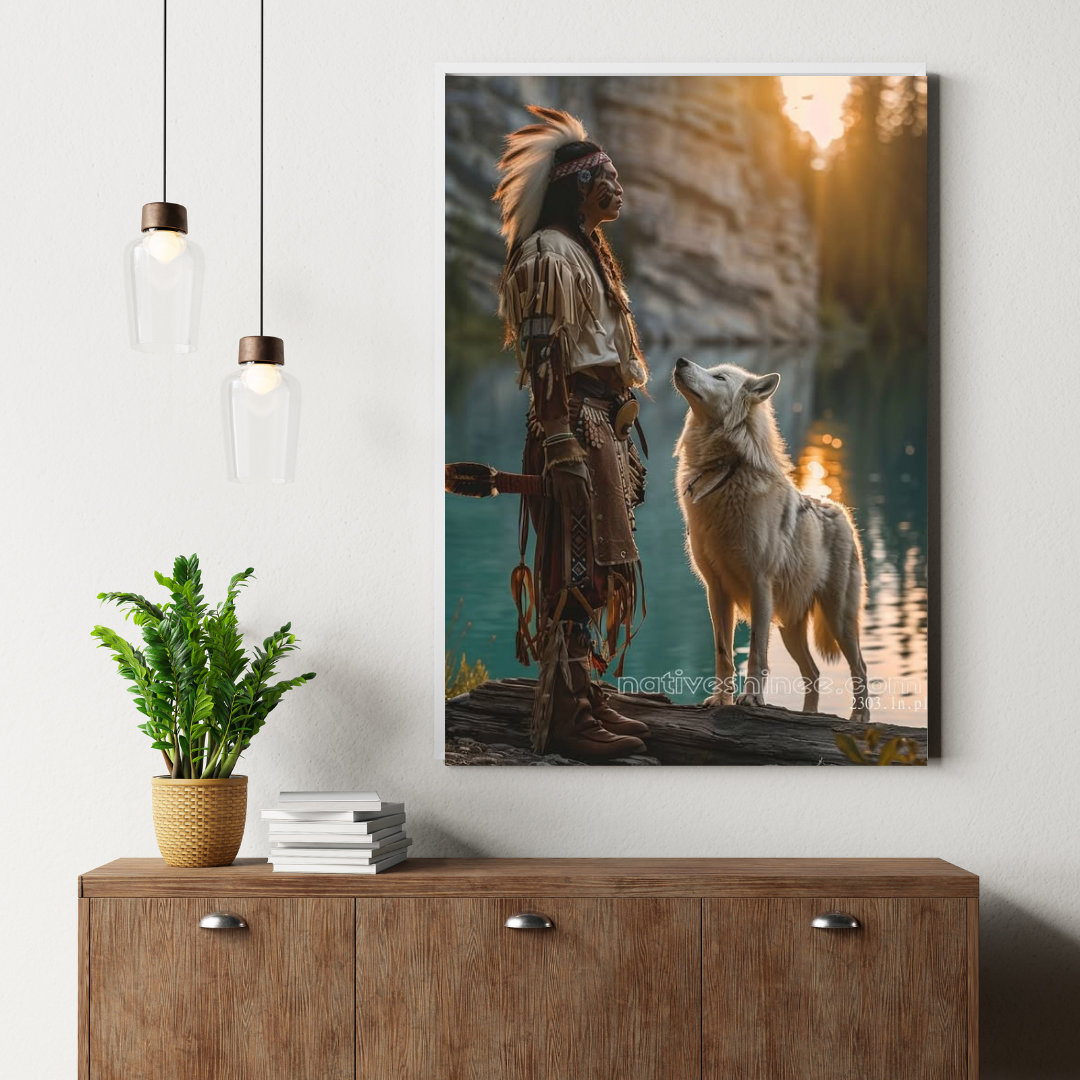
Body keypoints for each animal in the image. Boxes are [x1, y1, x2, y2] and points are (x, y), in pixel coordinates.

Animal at [672, 357, 870, 722]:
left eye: (720, 377)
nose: (680, 361)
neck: (726, 472)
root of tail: (841, 511)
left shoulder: (759, 585)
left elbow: (755, 653)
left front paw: (751, 699)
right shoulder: (716, 591)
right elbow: (723, 653)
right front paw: (720, 700)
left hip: (838, 620)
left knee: (860, 668)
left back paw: (859, 719)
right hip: (791, 628)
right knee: (814, 673)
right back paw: (809, 716)